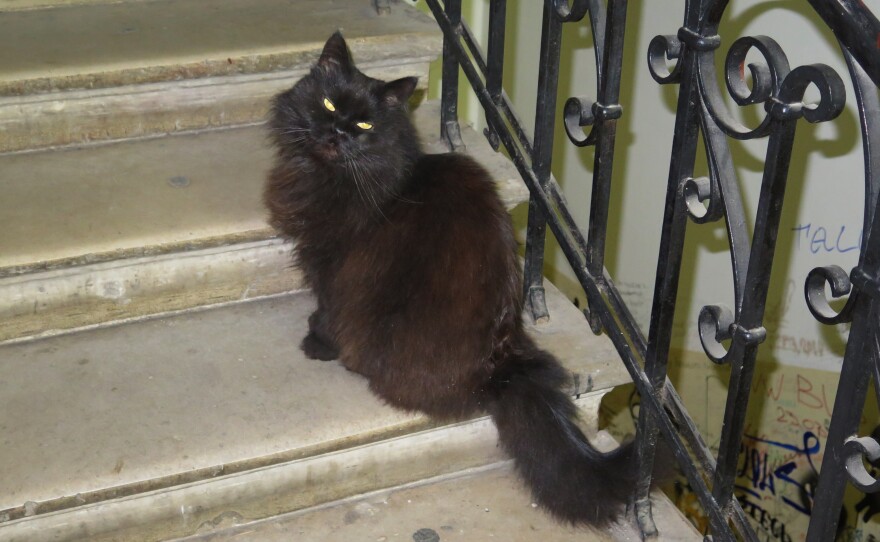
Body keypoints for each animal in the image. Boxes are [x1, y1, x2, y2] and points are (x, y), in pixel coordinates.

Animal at [264, 33, 636, 528]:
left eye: (363, 123)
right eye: (327, 103)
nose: (336, 133)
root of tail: (502, 369)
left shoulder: (333, 263)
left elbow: (326, 309)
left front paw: (317, 344)